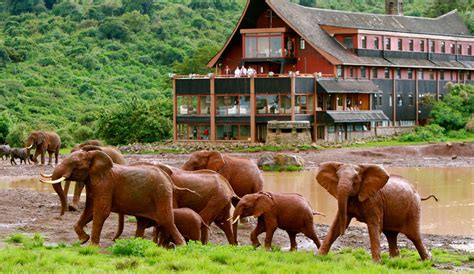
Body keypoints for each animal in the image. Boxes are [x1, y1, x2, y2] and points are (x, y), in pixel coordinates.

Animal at [39, 150, 186, 246]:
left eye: (75, 165)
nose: (61, 215)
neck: (93, 155)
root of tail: (167, 177)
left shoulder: (105, 184)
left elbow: (100, 212)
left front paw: (92, 247)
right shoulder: (93, 184)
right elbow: (89, 210)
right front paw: (83, 240)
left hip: (161, 194)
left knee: (167, 220)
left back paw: (182, 246)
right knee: (143, 222)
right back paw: (134, 243)